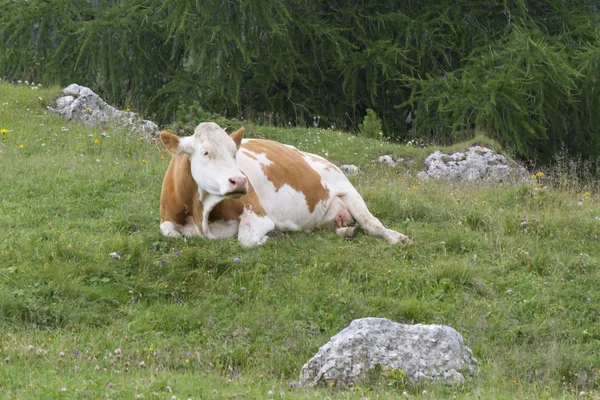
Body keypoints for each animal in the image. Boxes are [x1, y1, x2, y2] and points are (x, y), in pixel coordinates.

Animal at [158, 122, 412, 247]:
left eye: (234, 153)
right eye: (205, 152)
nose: (240, 180)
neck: (201, 214)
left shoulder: (258, 213)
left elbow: (245, 240)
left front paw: (272, 236)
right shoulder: (166, 219)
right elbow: (169, 233)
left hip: (349, 191)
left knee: (372, 224)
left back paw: (397, 238)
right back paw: (346, 230)